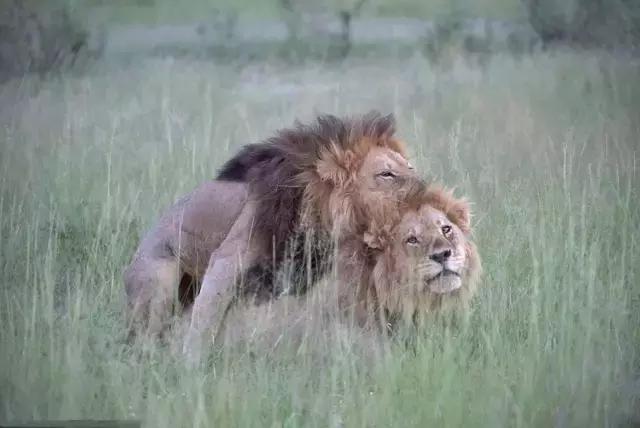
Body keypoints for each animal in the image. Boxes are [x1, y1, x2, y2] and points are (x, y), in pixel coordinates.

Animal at [123, 111, 420, 362]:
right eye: (386, 174)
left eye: (410, 168)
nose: (423, 185)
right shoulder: (230, 256)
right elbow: (206, 315)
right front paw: (191, 364)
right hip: (157, 285)